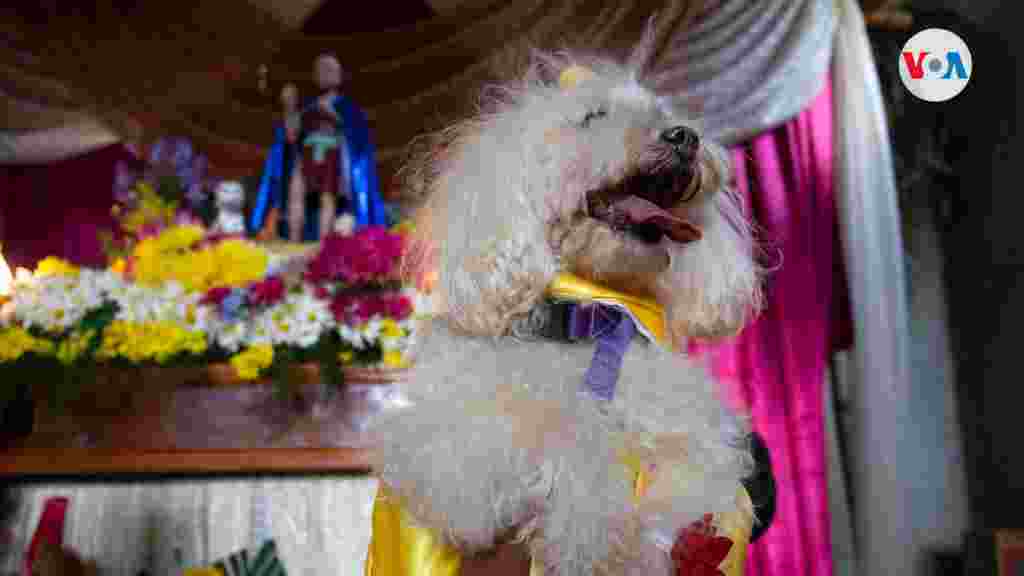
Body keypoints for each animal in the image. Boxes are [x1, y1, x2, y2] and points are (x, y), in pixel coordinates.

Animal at [372, 36, 765, 573]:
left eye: (663, 113)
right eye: (593, 116)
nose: (684, 137)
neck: (592, 321)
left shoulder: (696, 448)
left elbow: (689, 486)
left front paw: (647, 543)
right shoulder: (446, 443)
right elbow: (563, 444)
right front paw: (589, 532)